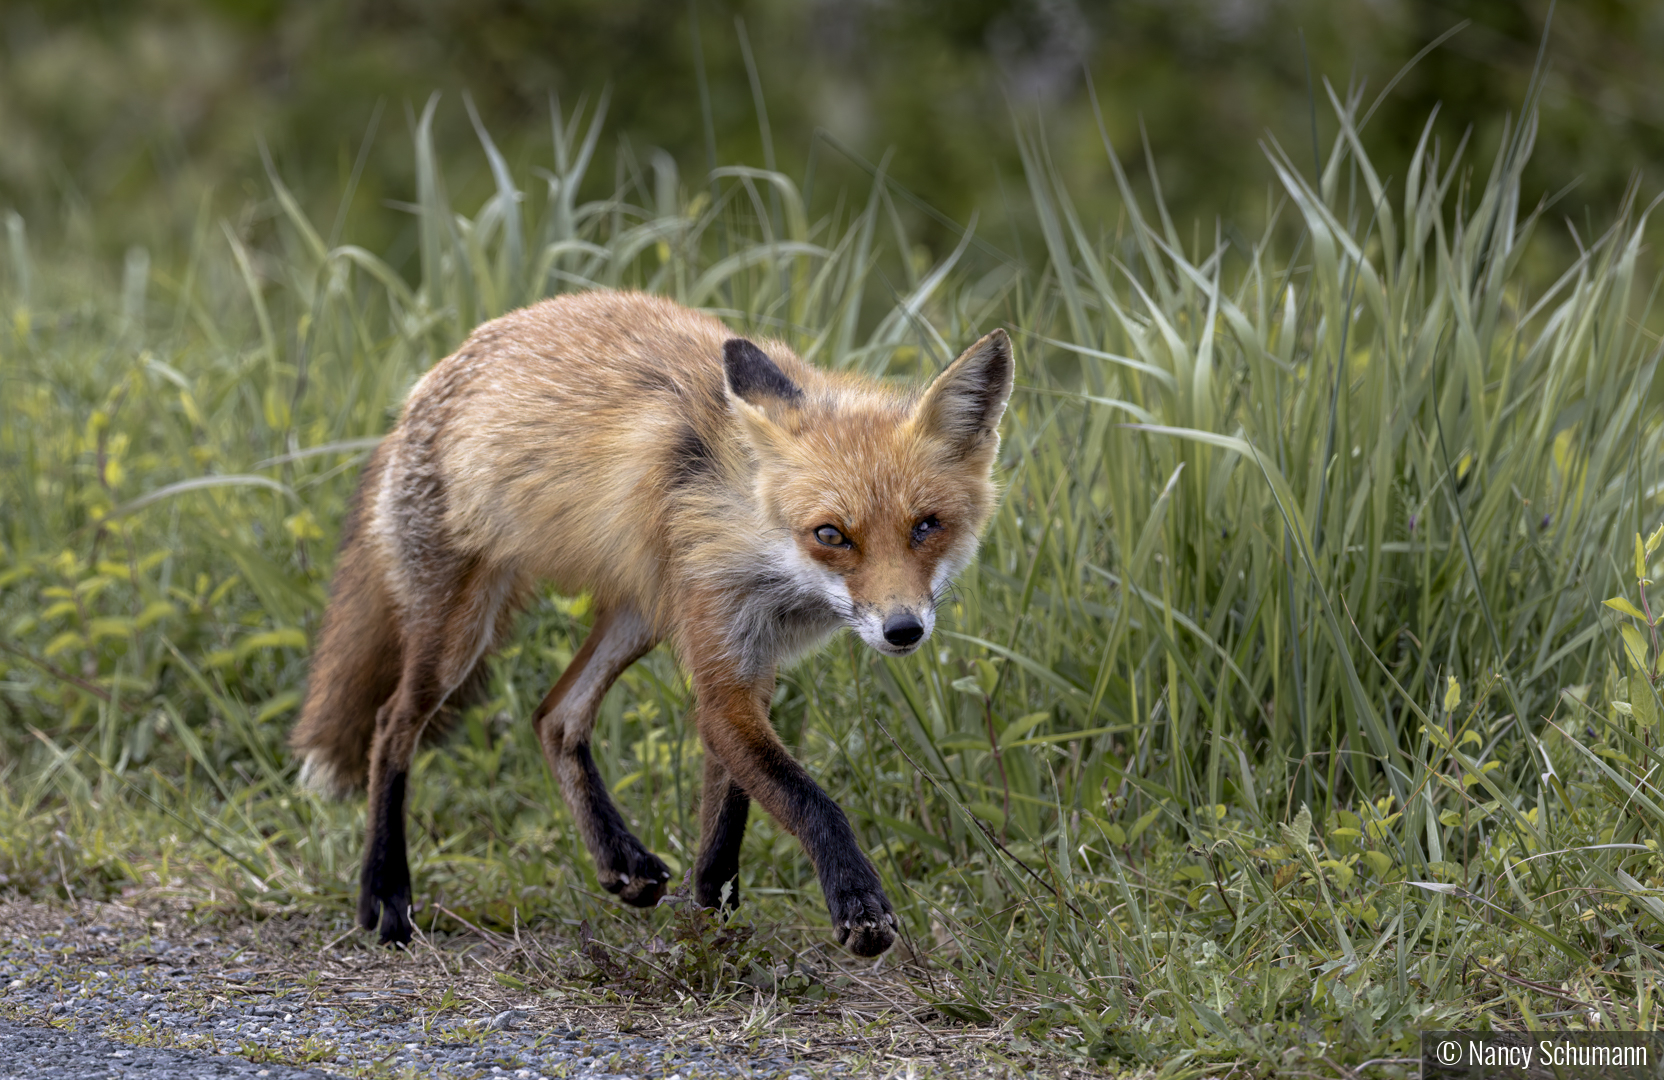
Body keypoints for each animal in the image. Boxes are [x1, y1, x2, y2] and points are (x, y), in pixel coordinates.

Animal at [290, 289, 1013, 958]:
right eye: (831, 534)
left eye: (927, 526)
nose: (903, 629)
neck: (759, 546)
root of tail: (429, 382)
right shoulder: (721, 666)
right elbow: (811, 801)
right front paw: (857, 904)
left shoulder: (749, 666)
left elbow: (727, 821)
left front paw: (711, 927)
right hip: (457, 636)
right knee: (391, 727)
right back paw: (387, 892)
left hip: (638, 617)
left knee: (555, 716)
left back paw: (620, 861)